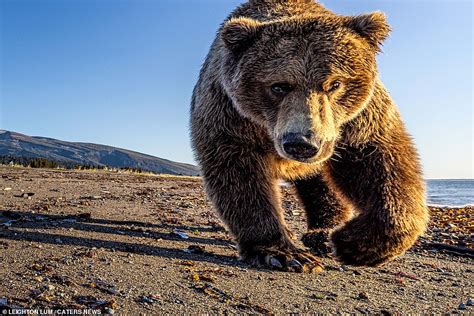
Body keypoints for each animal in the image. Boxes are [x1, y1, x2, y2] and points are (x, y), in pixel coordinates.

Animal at [190, 0, 430, 272]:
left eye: (334, 84)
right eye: (279, 86)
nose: (302, 143)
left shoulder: (357, 121)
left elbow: (381, 161)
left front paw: (352, 243)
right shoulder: (229, 115)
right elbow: (239, 176)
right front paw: (282, 253)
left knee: (322, 186)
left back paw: (323, 233)